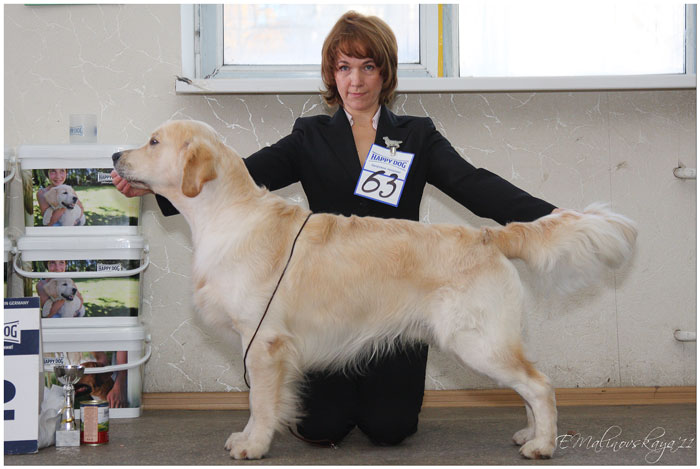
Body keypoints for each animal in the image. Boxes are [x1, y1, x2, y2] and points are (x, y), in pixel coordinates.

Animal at [113, 120, 637, 460]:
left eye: (153, 141)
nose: (115, 156)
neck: (226, 215)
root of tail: (491, 235)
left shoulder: (263, 342)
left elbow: (259, 402)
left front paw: (252, 444)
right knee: (528, 386)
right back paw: (527, 434)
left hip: (477, 340)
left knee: (540, 385)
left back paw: (543, 444)